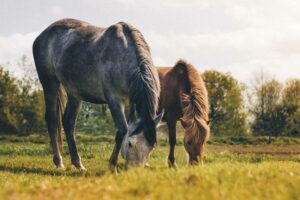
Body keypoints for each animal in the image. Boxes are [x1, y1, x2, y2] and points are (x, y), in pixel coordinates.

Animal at [32, 18, 164, 170]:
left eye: (151, 147)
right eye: (130, 144)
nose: (134, 171)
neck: (122, 55)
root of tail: (43, 34)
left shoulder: (129, 102)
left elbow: (121, 131)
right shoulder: (114, 99)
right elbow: (123, 130)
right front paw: (112, 164)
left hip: (74, 93)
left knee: (69, 122)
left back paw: (78, 163)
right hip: (50, 84)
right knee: (52, 121)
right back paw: (59, 161)